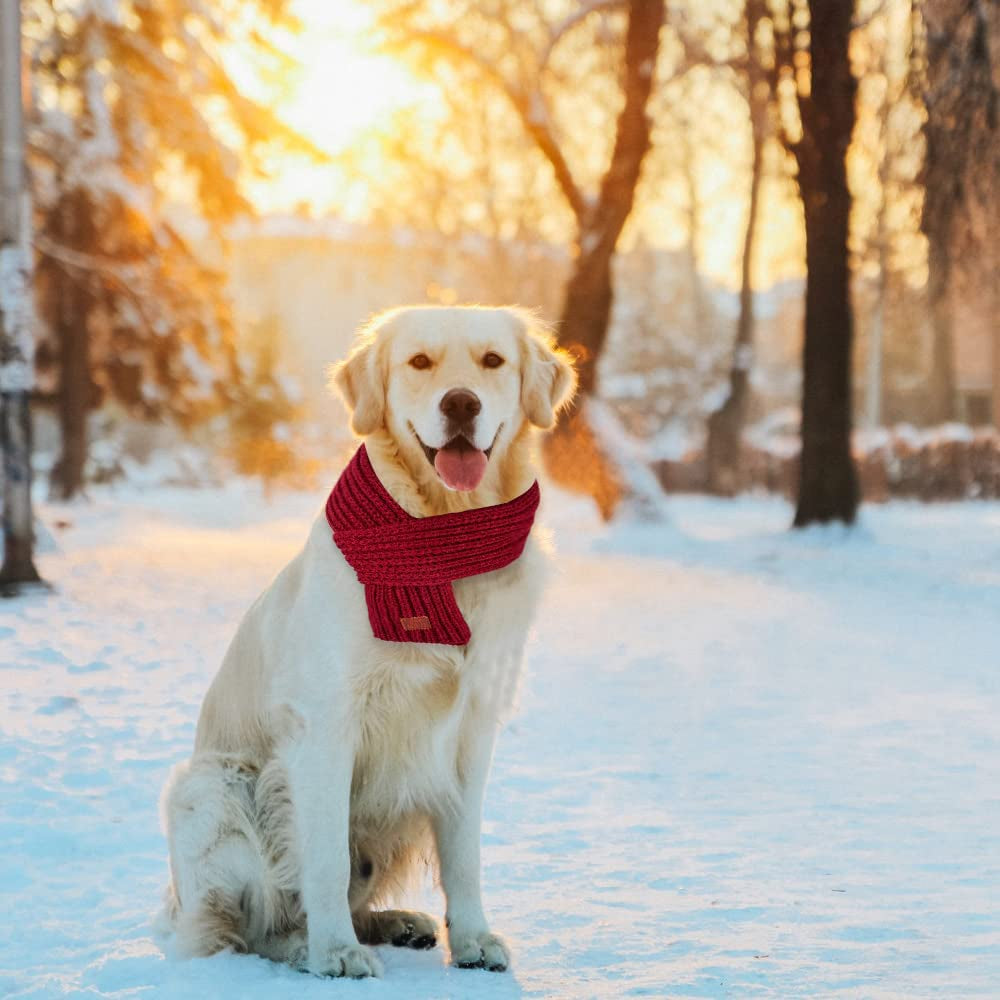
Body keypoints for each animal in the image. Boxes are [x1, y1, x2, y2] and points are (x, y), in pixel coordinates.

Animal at [160, 302, 576, 976]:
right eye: (419, 362)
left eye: (492, 361)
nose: (461, 404)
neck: (442, 535)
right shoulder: (325, 726)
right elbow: (325, 858)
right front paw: (334, 951)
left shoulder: (471, 729)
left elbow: (465, 855)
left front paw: (474, 938)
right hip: (212, 790)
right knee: (244, 929)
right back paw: (305, 945)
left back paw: (396, 922)